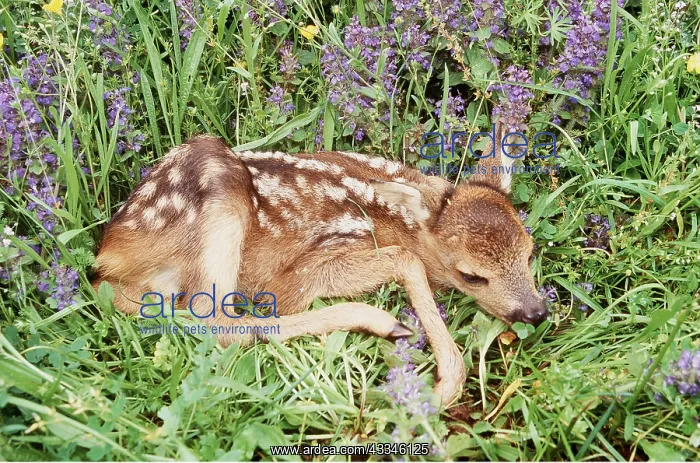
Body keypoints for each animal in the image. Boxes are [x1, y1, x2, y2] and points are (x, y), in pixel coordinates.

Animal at [92, 121, 548, 407]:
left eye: (529, 251)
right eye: (471, 275)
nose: (536, 312)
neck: (402, 220)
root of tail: (108, 256)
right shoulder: (308, 265)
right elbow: (403, 259)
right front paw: (441, 386)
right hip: (219, 197)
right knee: (216, 320)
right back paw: (385, 323)